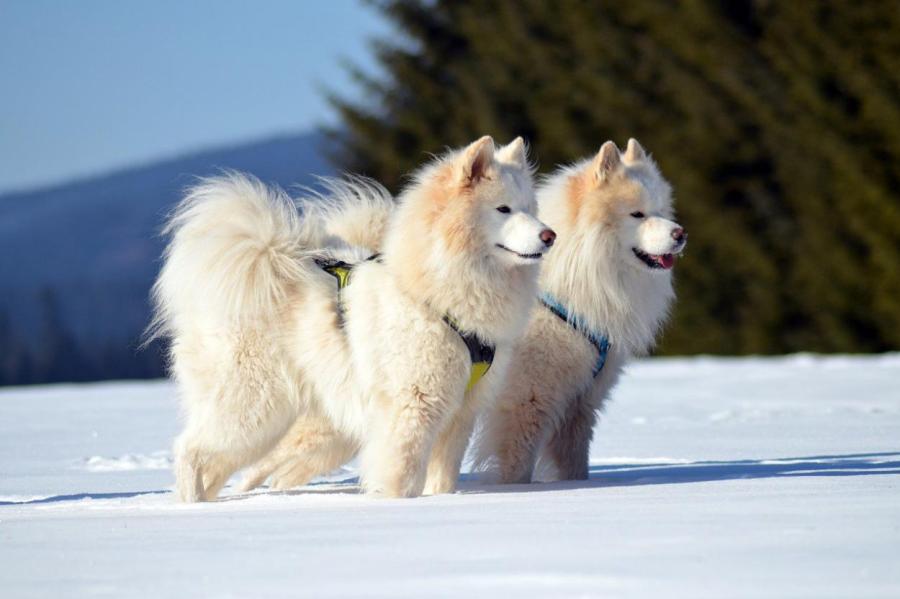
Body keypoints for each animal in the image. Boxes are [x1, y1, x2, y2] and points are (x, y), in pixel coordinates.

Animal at [148, 137, 552, 502]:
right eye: (503, 209)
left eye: (531, 208)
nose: (550, 235)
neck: (433, 293)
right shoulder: (413, 406)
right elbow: (401, 473)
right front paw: (395, 503)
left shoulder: (460, 414)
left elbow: (442, 478)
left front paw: (439, 501)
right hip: (251, 406)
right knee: (190, 449)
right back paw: (190, 505)